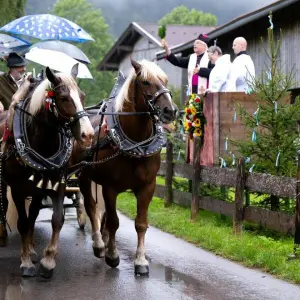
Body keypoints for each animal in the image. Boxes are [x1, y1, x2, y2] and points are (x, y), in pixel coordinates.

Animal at [0, 64, 94, 278]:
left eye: (82, 96)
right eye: (64, 97)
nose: (88, 135)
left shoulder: (57, 182)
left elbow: (56, 220)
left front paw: (47, 260)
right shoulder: (17, 189)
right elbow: (23, 222)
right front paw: (26, 262)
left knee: (34, 214)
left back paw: (32, 248)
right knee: (6, 206)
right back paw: (5, 238)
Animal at [70, 57, 177, 276]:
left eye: (165, 80)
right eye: (145, 82)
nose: (170, 110)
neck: (135, 143)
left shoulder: (147, 187)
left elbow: (141, 223)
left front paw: (141, 261)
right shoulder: (110, 188)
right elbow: (114, 222)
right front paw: (112, 255)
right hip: (84, 176)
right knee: (91, 207)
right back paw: (99, 244)